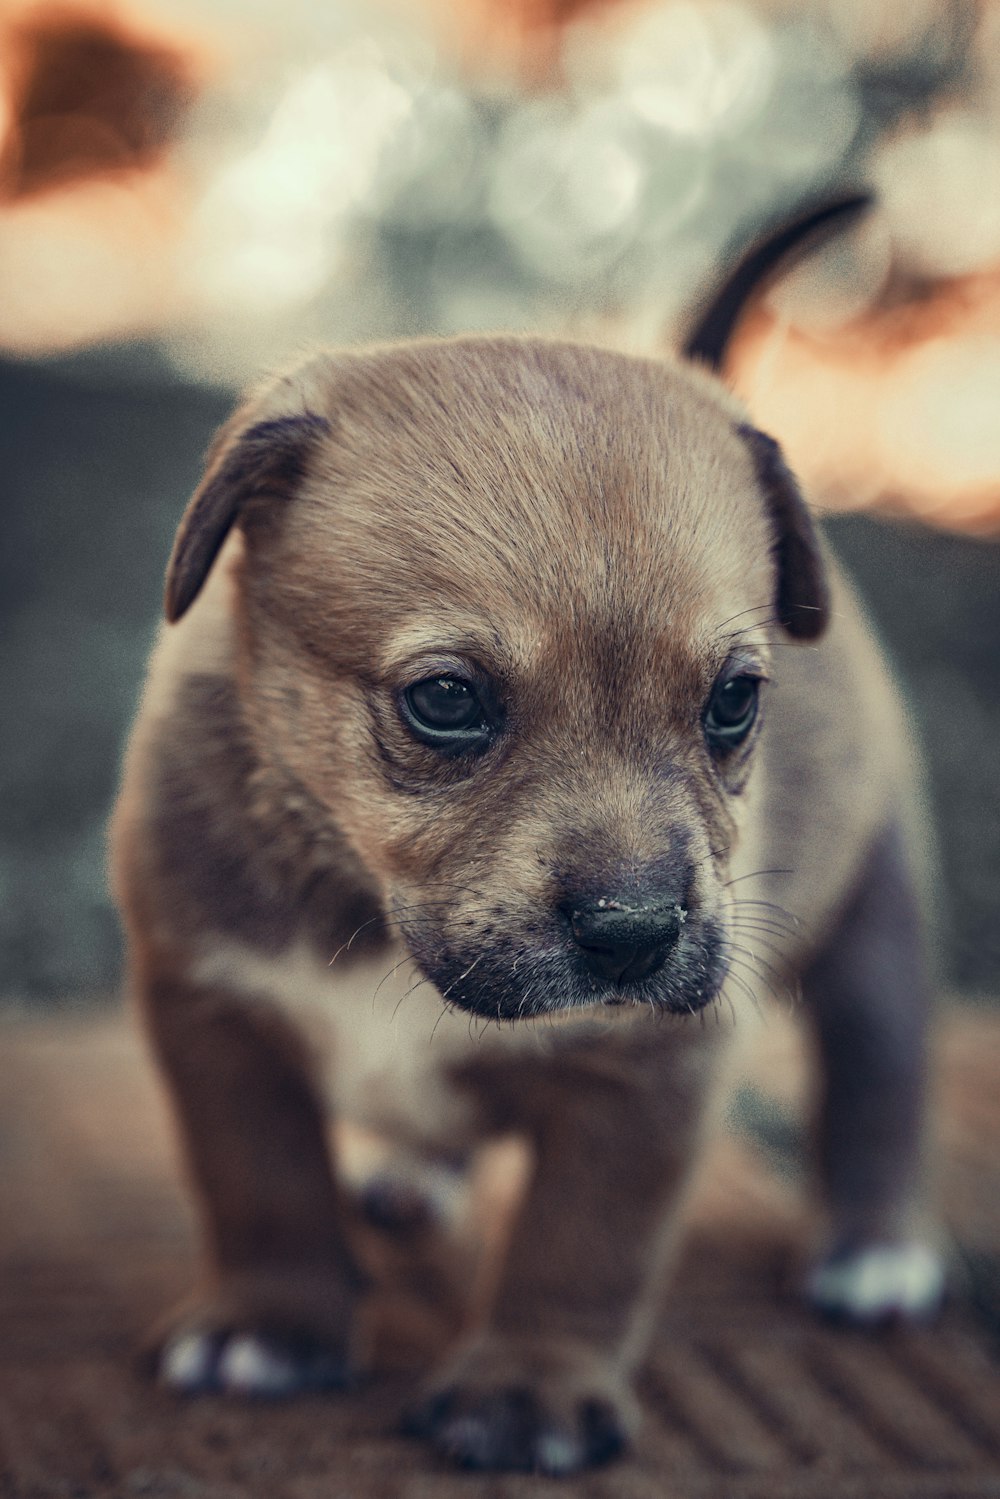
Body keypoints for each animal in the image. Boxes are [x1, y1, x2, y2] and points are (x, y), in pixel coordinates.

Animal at [111, 211, 947, 1475]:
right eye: (445, 700)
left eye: (733, 700)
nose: (635, 934)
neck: (364, 906)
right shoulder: (212, 1008)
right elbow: (259, 1180)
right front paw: (274, 1322)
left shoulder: (647, 1070)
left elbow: (578, 1242)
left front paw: (530, 1387)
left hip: (877, 914)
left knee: (879, 1077)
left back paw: (871, 1246)